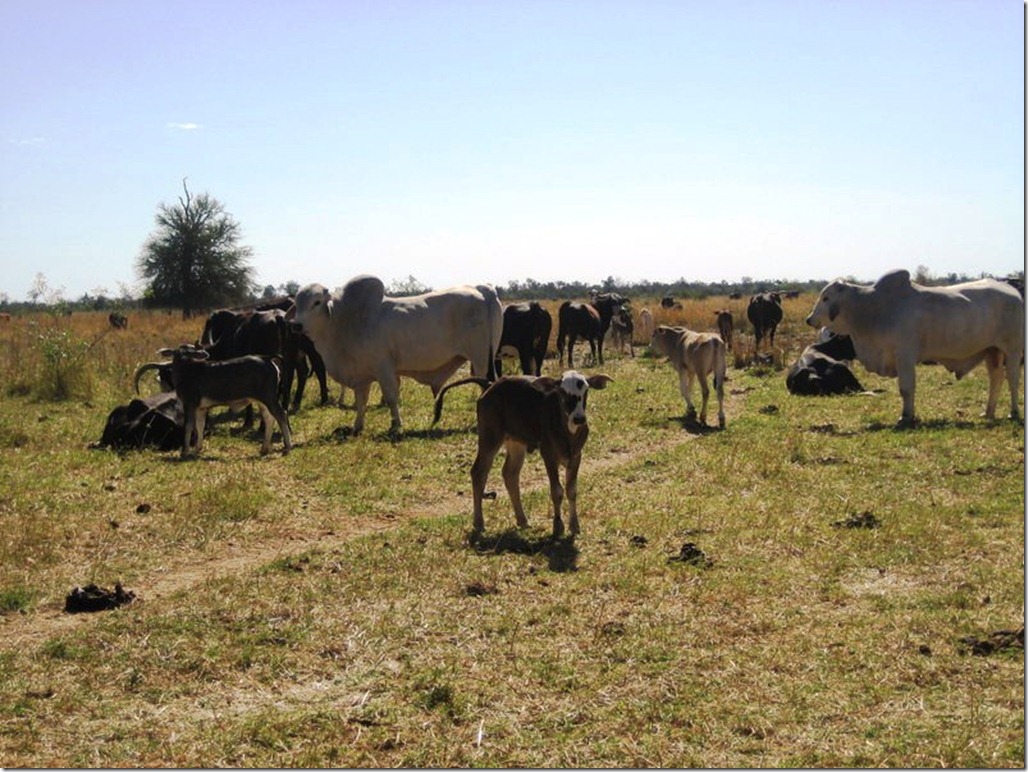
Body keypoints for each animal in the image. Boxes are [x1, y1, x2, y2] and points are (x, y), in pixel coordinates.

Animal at [294, 275, 501, 435]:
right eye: (296, 304)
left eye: (316, 302)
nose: (296, 325)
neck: (345, 321)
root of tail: (482, 289)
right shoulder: (362, 376)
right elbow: (361, 402)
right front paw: (357, 426)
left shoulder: (384, 368)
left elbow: (391, 397)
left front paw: (395, 426)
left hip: (480, 359)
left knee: (486, 384)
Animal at [431, 372, 608, 538]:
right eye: (562, 391)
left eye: (586, 390)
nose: (579, 418)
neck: (567, 432)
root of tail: (490, 384)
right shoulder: (548, 455)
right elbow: (557, 491)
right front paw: (557, 527)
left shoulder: (576, 456)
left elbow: (571, 490)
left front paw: (574, 526)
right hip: (490, 438)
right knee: (478, 473)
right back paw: (479, 523)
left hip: (516, 443)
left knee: (510, 474)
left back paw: (522, 520)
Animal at [805, 269, 1023, 425]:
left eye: (826, 298)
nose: (809, 319)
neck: (872, 308)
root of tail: (1014, 293)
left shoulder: (905, 356)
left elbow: (906, 388)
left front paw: (906, 417)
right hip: (992, 351)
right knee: (996, 379)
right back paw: (988, 412)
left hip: (1012, 350)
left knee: (1012, 380)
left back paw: (1013, 413)